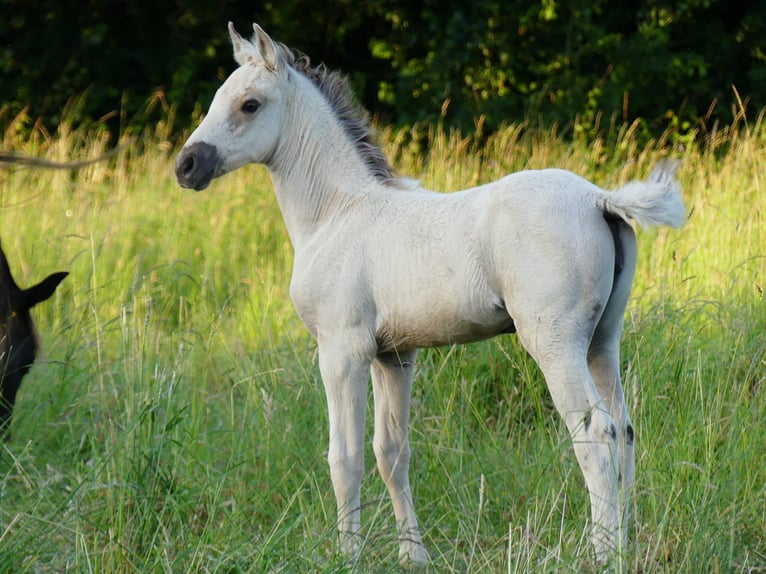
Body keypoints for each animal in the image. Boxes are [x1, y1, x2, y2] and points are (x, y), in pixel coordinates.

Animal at [175, 22, 685, 566]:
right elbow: (391, 453)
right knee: (625, 431)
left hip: (555, 343)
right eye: (218, 97)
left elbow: (345, 458)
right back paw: (629, 544)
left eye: (249, 104)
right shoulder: (395, 356)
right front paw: (412, 557)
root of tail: (598, 198)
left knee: (594, 433)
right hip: (603, 341)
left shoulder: (341, 351)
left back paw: (602, 554)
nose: (187, 165)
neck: (335, 213)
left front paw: (348, 557)